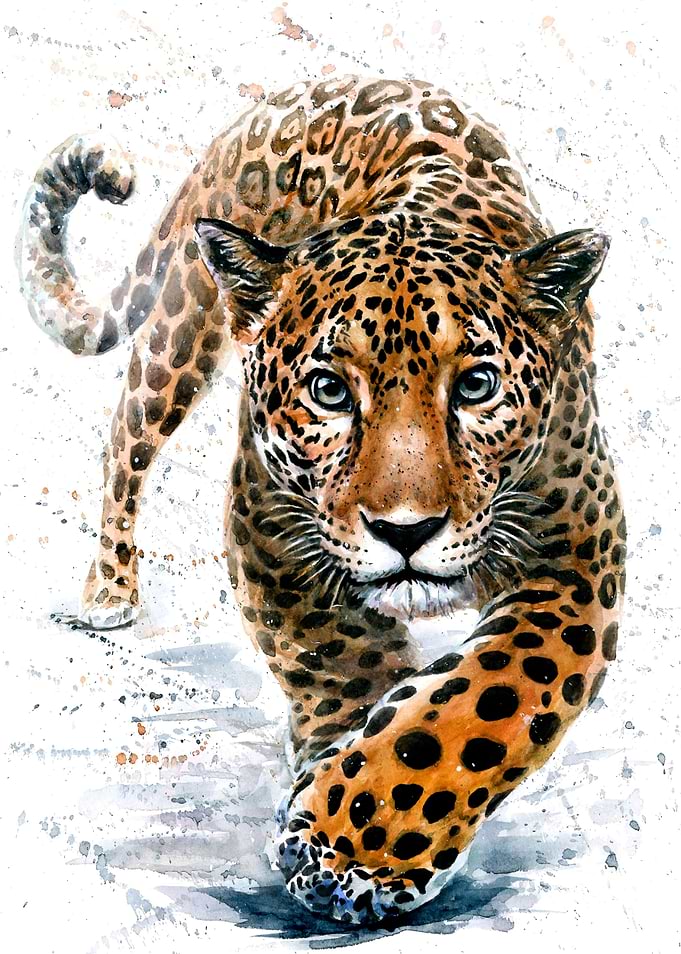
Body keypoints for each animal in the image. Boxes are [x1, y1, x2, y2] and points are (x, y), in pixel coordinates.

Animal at [19, 75, 625, 925]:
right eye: (329, 390)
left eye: (476, 385)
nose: (405, 530)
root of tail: (297, 90)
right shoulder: (269, 528)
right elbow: (340, 660)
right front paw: (344, 821)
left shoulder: (576, 558)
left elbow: (488, 698)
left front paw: (357, 843)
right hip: (181, 327)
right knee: (124, 441)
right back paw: (108, 589)